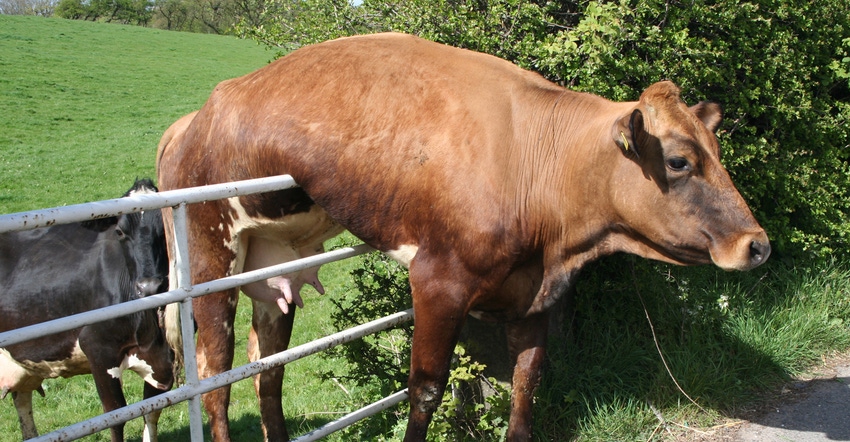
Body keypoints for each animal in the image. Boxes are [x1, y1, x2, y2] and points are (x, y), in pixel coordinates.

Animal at [0, 178, 175, 440]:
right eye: (120, 232)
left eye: (164, 227)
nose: (149, 286)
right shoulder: (97, 348)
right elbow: (116, 415)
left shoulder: (164, 357)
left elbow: (152, 412)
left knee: (22, 401)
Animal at [154, 32, 768, 440]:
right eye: (680, 161)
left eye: (716, 151)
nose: (757, 244)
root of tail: (193, 119)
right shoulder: (437, 282)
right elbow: (424, 389)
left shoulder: (532, 295)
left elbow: (526, 382)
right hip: (210, 259)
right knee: (217, 378)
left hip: (274, 271)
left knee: (268, 372)